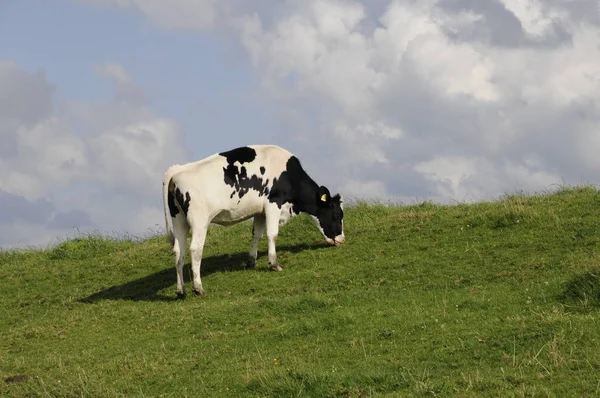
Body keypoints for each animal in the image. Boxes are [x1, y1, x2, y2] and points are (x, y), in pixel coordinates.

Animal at [162, 145, 344, 296]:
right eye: (337, 215)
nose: (342, 239)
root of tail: (176, 171)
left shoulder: (260, 211)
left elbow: (257, 234)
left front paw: (251, 261)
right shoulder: (273, 202)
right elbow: (272, 234)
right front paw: (274, 264)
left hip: (179, 221)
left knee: (179, 251)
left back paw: (181, 290)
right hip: (199, 221)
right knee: (195, 249)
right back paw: (198, 288)